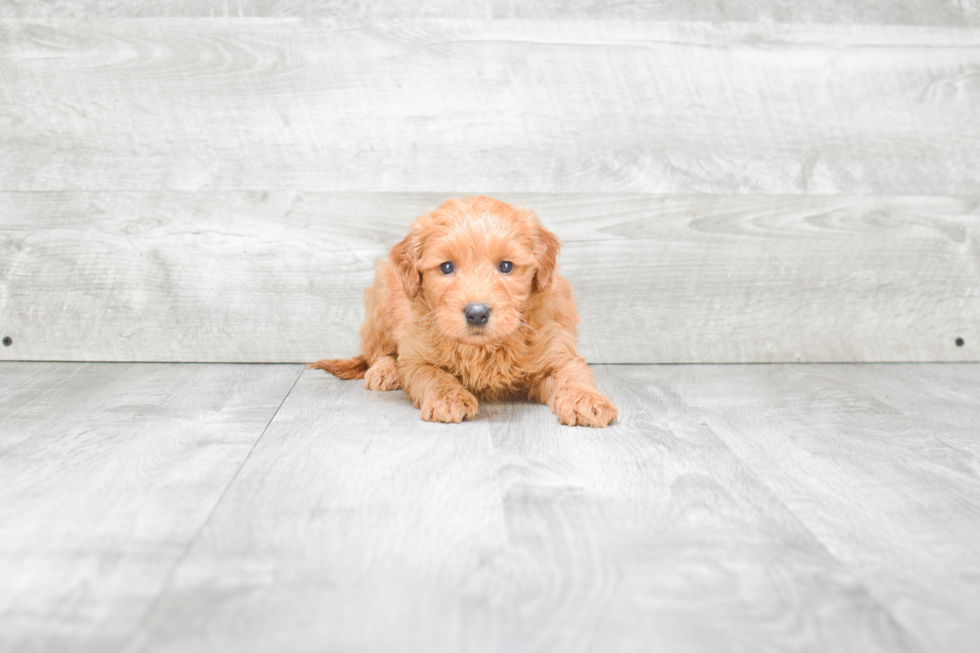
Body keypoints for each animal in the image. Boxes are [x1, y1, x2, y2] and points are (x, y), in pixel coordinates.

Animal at [314, 197, 616, 428]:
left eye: (506, 266)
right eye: (446, 267)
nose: (477, 313)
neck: (482, 348)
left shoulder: (557, 349)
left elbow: (573, 374)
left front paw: (587, 401)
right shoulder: (416, 354)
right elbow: (432, 375)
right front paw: (448, 399)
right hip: (382, 305)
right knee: (378, 351)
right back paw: (384, 371)